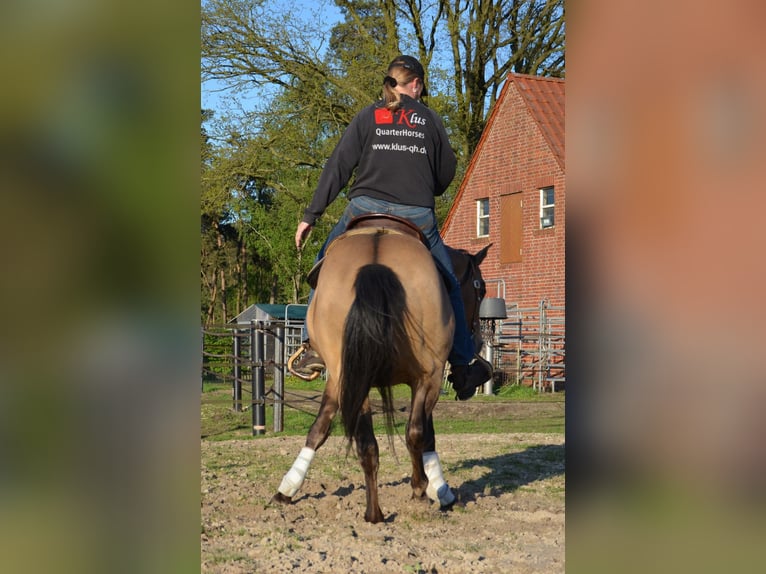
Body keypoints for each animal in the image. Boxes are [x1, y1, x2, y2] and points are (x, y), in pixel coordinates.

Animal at [274, 222, 491, 523]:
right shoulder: (428, 380)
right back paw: (411, 495)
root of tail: (376, 262)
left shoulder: (342, 380)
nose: (479, 340)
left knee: (365, 443)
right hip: (426, 375)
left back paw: (373, 513)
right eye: (480, 289)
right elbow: (426, 434)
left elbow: (320, 427)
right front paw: (436, 490)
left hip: (352, 377)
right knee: (412, 433)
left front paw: (287, 489)